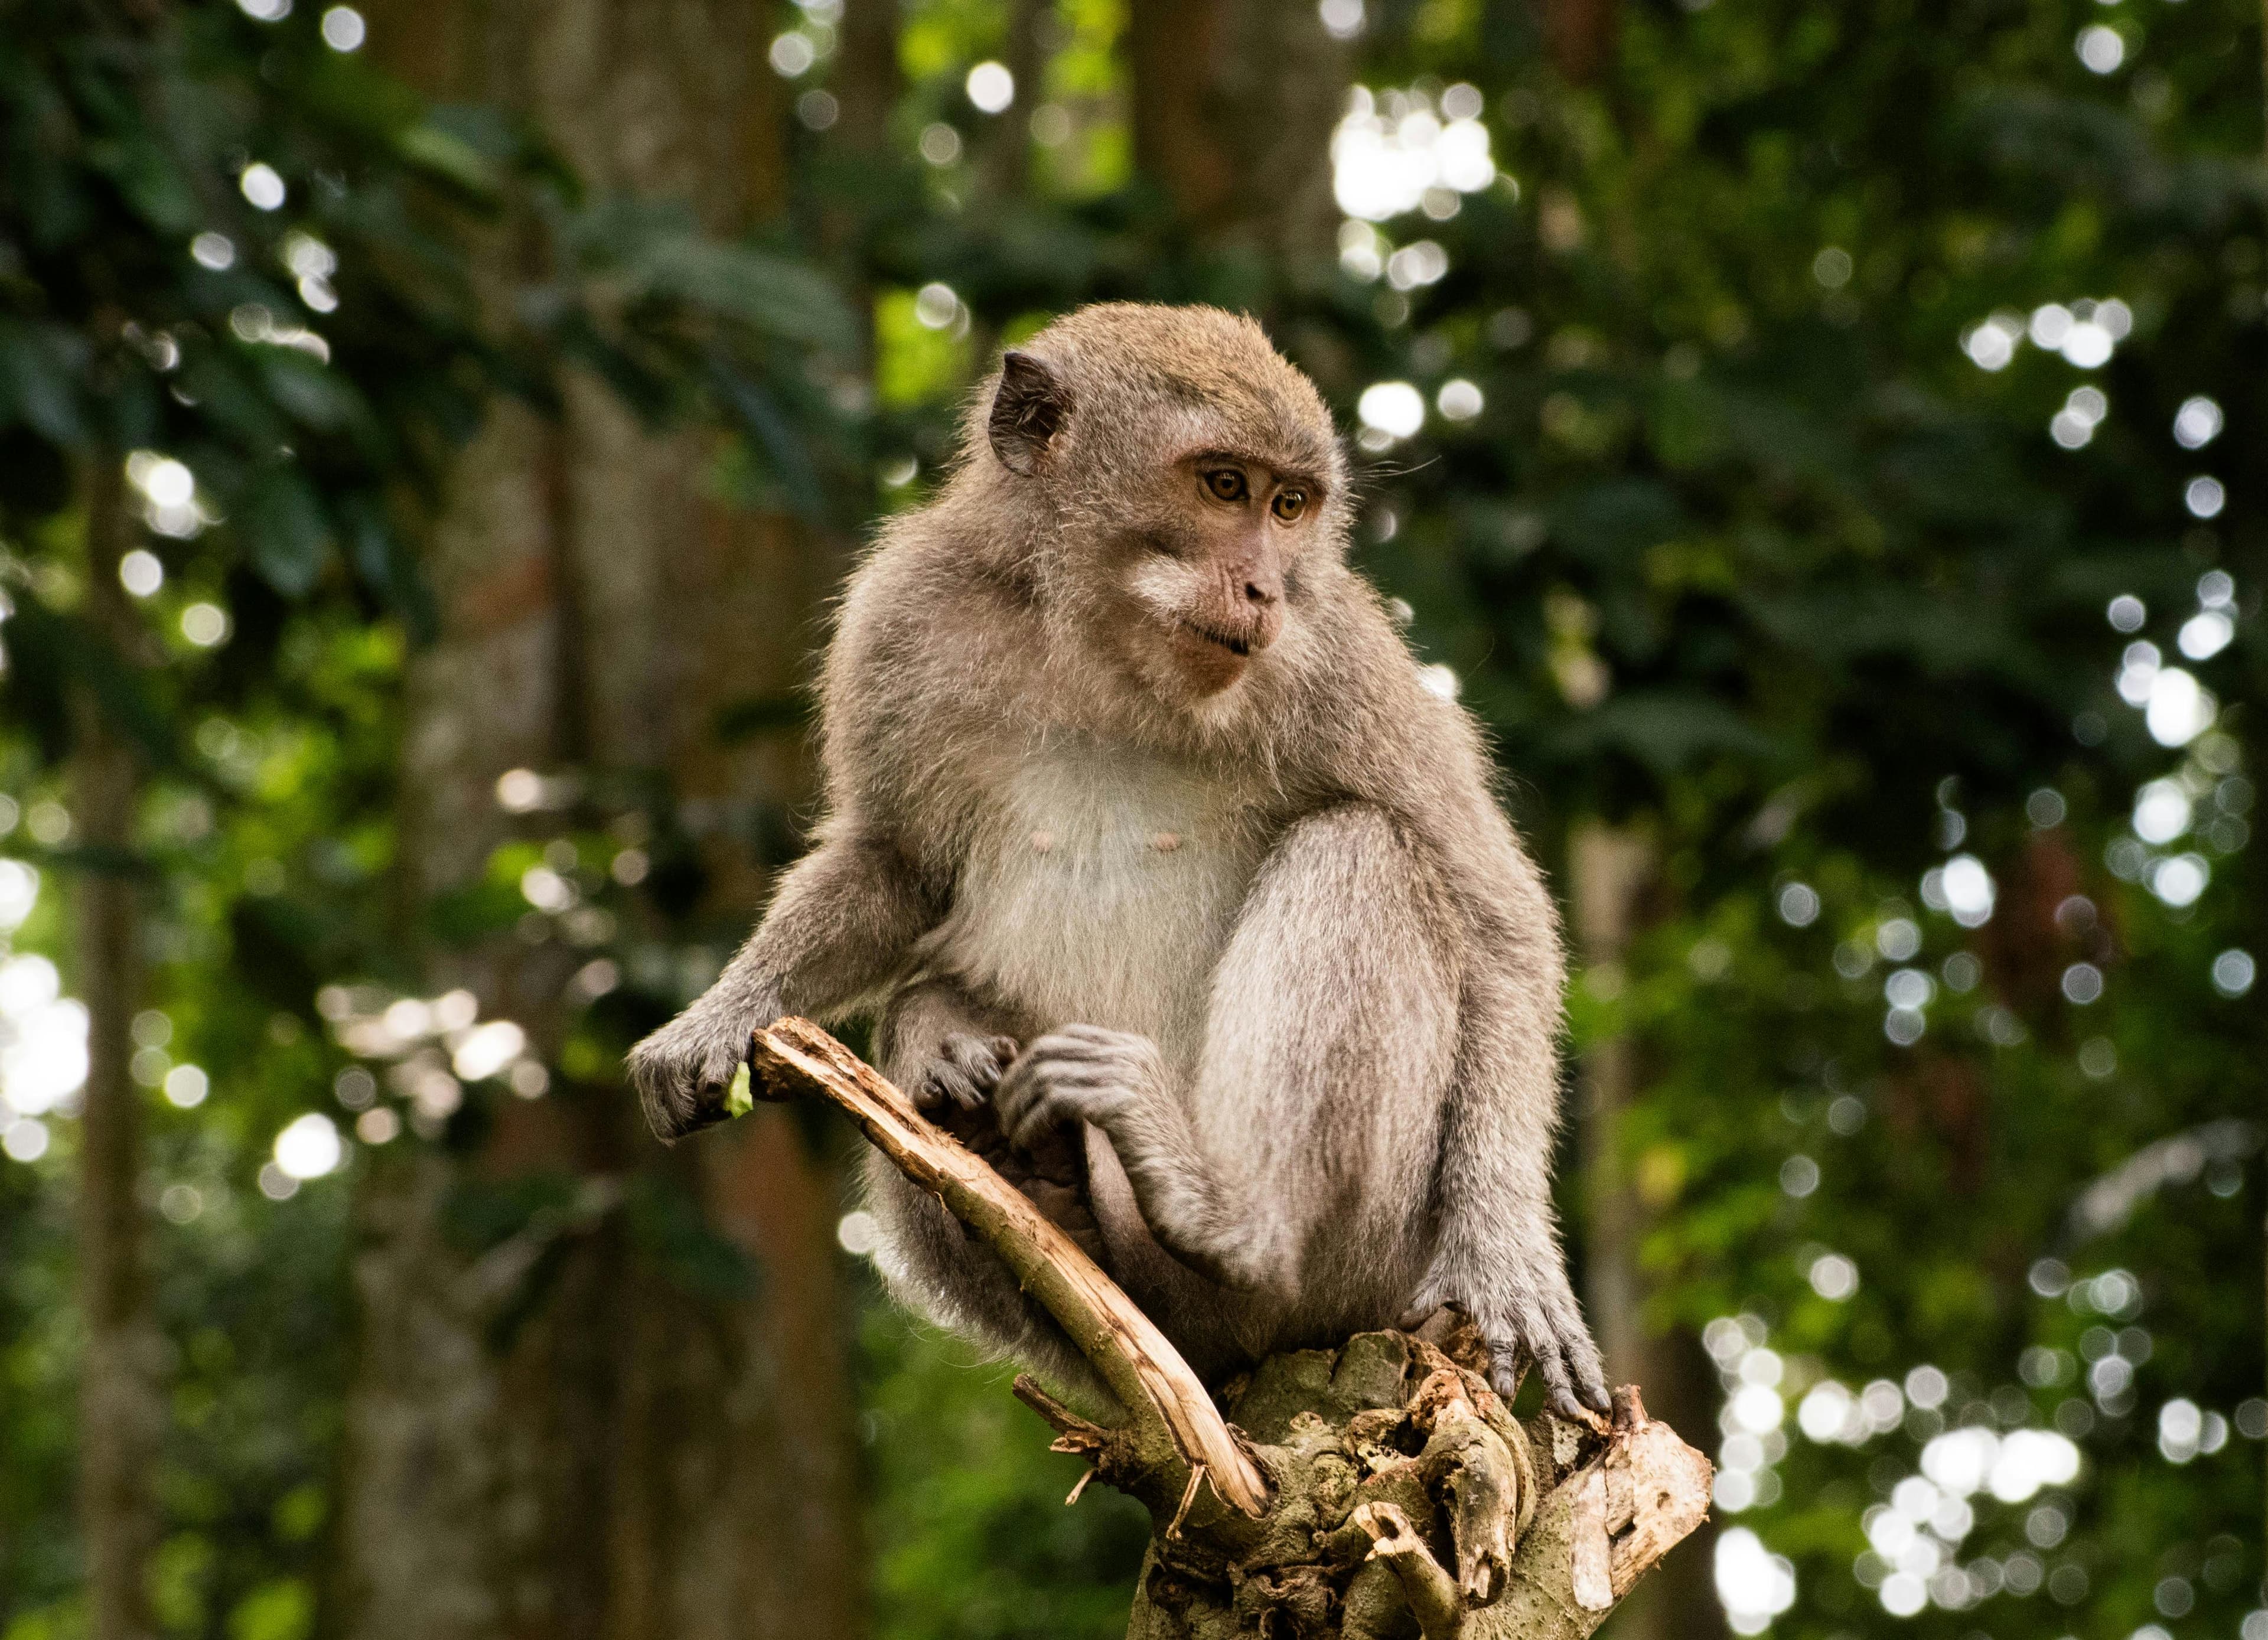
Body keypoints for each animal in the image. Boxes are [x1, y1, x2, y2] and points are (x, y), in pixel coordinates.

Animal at [627, 303, 1610, 1421]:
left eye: (1290, 504)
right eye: (1222, 485)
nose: (1264, 586)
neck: (1103, 641)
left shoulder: (1335, 655)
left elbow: (1496, 921)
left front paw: (1505, 1257)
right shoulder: (902, 615)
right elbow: (894, 862)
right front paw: (724, 1015)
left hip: (1372, 1263)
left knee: (1363, 847)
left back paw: (1229, 1220)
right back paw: (1023, 1159)